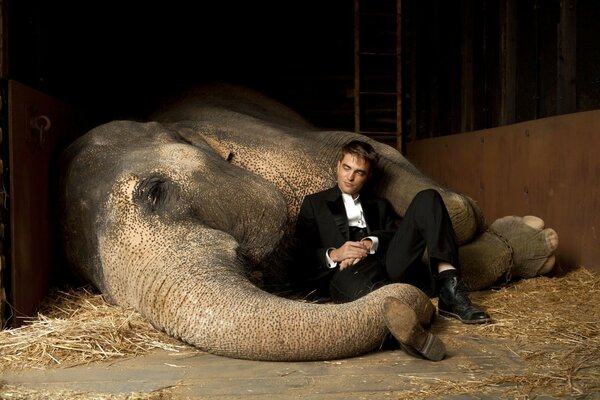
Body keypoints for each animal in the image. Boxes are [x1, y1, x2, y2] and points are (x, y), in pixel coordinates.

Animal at [57, 83, 556, 360]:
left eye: (155, 191)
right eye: (97, 286)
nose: (411, 316)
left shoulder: (285, 143)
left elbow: (419, 184)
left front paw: (527, 233)